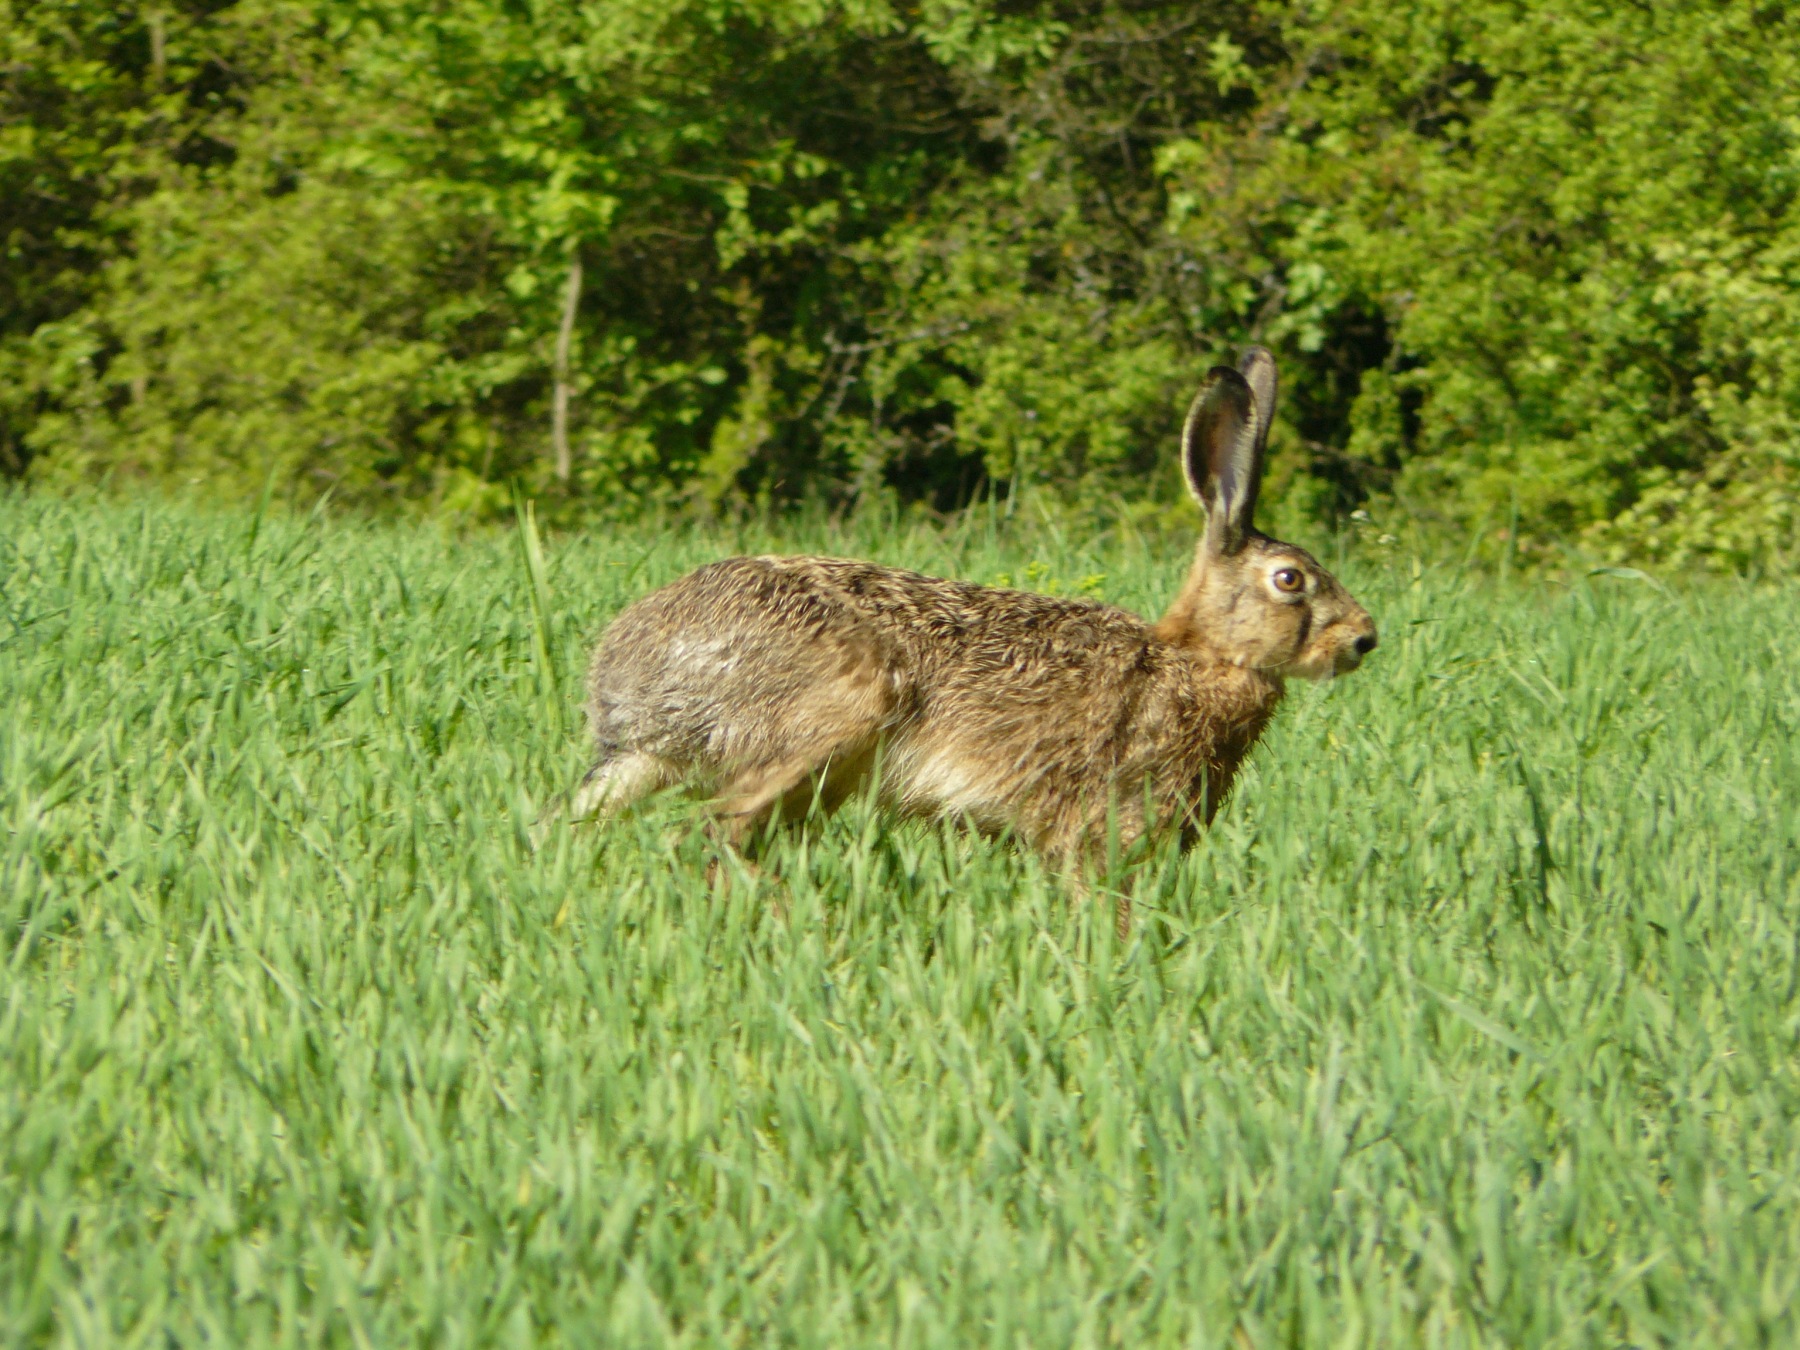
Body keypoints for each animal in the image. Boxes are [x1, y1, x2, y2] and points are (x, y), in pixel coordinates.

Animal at [558, 347, 1376, 905]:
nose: (1364, 639)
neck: (1199, 657)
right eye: (1291, 580)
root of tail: (625, 697)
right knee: (708, 836)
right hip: (826, 719)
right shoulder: (1100, 823)